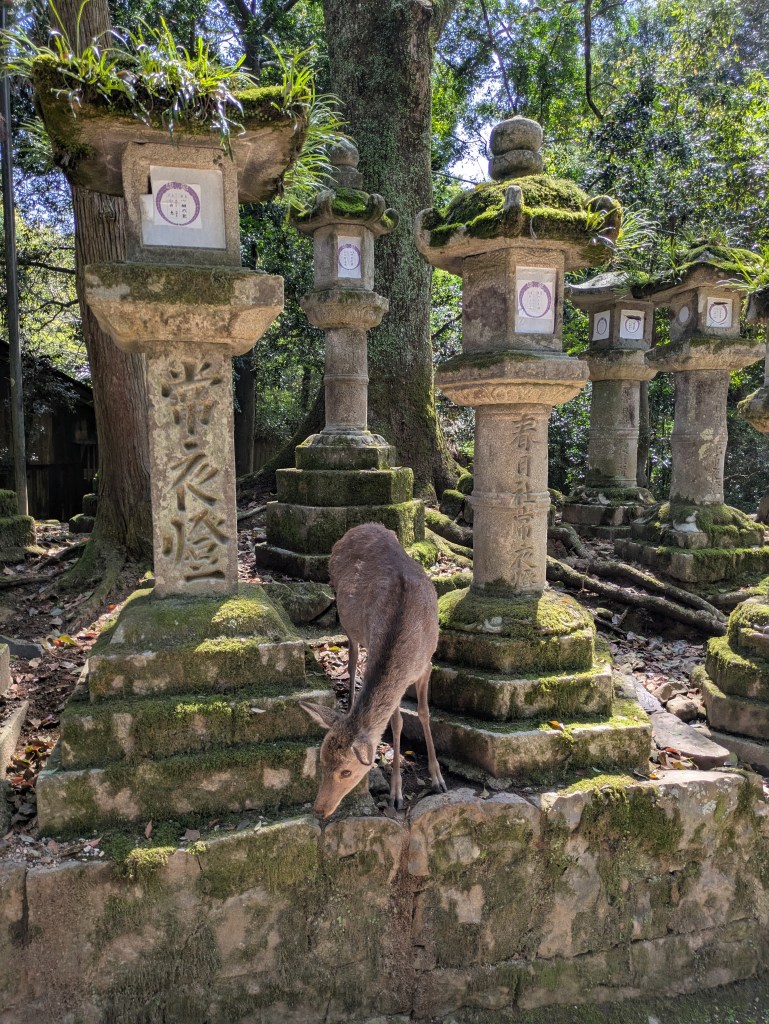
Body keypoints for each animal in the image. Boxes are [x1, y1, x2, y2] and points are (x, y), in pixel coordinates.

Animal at [299, 522, 447, 818]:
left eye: (346, 771)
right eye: (321, 762)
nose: (319, 810)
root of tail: (362, 526)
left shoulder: (427, 664)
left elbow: (424, 713)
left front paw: (438, 779)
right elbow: (397, 722)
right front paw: (396, 794)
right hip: (347, 619)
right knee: (352, 658)